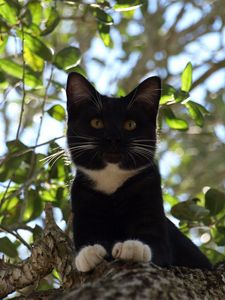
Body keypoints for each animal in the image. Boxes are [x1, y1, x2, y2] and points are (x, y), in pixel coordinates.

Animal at [66, 72, 212, 272]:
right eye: (96, 122)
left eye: (130, 124)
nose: (114, 138)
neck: (111, 181)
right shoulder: (82, 199)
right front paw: (89, 252)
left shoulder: (150, 194)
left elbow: (156, 245)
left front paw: (134, 247)